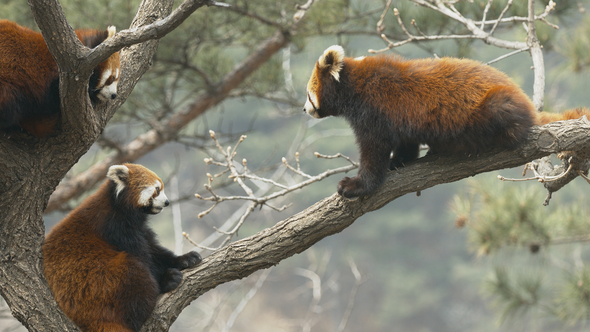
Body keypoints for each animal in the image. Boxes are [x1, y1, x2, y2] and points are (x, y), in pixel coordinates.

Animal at [42, 163, 202, 332]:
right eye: (157, 189)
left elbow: (155, 250)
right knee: (133, 272)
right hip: (97, 284)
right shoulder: (115, 227)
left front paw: (185, 259)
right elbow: (144, 257)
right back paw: (163, 285)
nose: (167, 202)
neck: (119, 206)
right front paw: (166, 276)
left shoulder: (140, 229)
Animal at [306, 45, 590, 198]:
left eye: (309, 95)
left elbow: (373, 152)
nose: (304, 109)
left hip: (496, 105)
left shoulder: (374, 110)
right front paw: (400, 161)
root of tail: (527, 102)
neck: (355, 85)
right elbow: (405, 142)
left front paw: (356, 185)